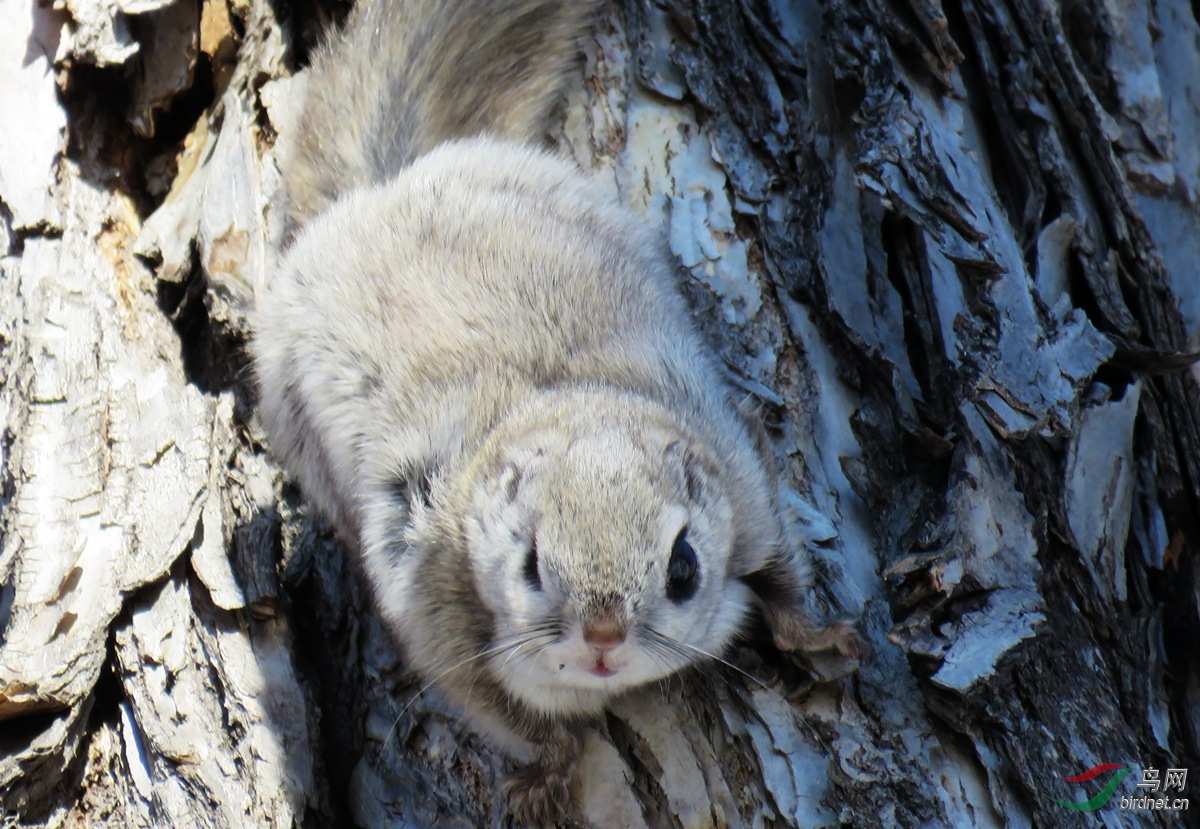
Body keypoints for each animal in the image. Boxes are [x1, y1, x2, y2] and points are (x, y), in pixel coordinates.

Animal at [250, 0, 864, 825]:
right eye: (530, 564)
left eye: (684, 567)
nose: (603, 636)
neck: (559, 401)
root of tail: (387, 190)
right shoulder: (436, 609)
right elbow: (507, 711)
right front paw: (550, 768)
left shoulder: (744, 482)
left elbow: (780, 574)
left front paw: (818, 634)